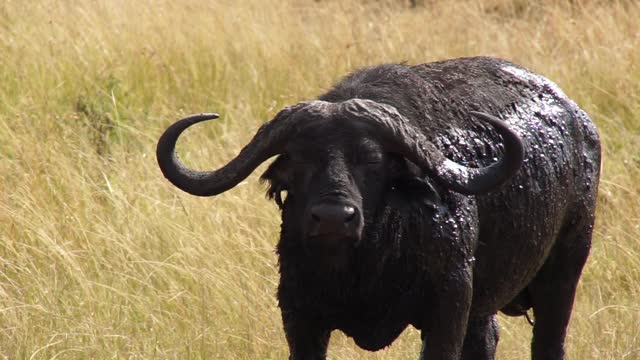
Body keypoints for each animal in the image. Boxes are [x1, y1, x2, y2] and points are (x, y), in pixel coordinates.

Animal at [155, 57, 600, 360]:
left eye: (372, 160)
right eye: (298, 161)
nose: (333, 218)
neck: (364, 268)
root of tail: (580, 124)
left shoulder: (448, 307)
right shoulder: (300, 315)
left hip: (564, 270)